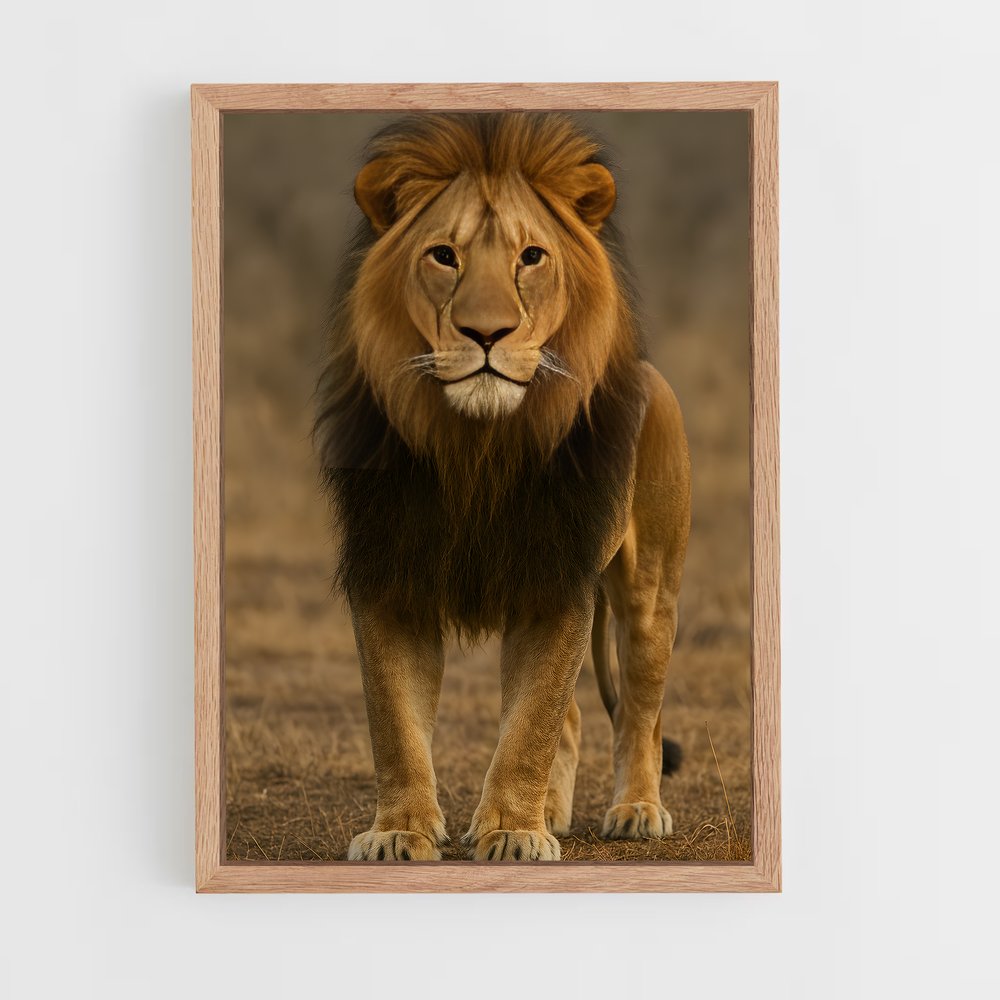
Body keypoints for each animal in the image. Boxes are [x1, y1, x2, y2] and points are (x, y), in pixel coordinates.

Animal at [314, 113, 691, 861]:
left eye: (532, 258)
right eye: (444, 256)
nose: (486, 332)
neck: (475, 448)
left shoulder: (556, 580)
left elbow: (531, 722)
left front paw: (513, 834)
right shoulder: (390, 574)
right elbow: (394, 720)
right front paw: (399, 831)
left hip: (650, 591)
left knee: (640, 710)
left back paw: (636, 809)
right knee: (575, 716)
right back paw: (553, 811)